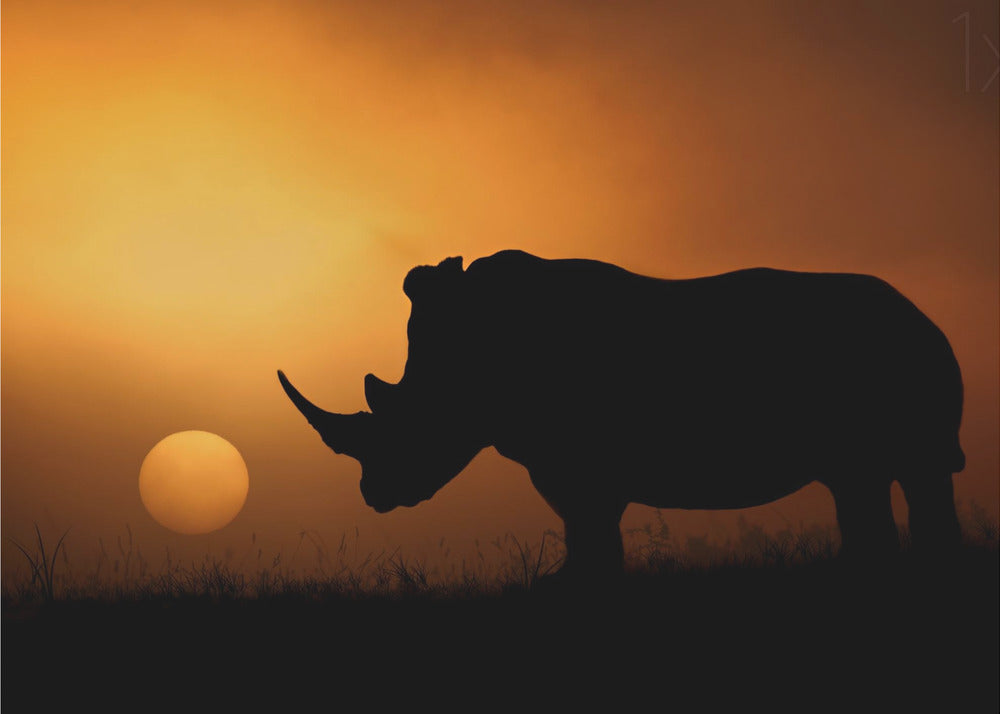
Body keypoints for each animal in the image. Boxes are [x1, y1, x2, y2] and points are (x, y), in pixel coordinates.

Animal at [279, 250, 965, 577]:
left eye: (408, 425)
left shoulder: (577, 463)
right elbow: (587, 531)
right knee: (867, 481)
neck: (467, 365)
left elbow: (590, 529)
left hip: (900, 357)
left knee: (905, 473)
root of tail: (925, 316)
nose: (373, 495)